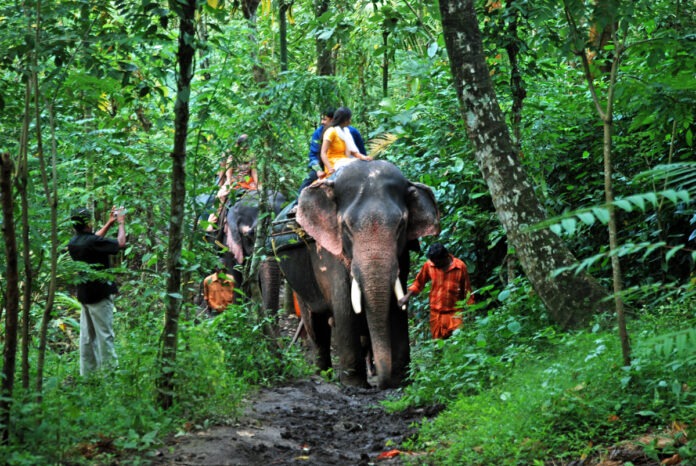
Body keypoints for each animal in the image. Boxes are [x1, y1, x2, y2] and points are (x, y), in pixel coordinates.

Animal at [270, 161, 438, 390]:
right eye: (346, 227)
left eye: (401, 225)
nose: (381, 384)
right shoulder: (330, 251)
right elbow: (345, 308)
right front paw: (354, 385)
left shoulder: (402, 254)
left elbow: (396, 307)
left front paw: (401, 381)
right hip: (298, 278)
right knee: (316, 323)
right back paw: (324, 374)